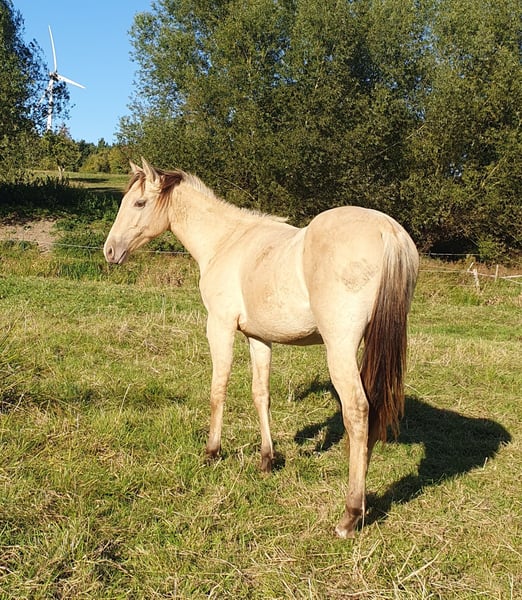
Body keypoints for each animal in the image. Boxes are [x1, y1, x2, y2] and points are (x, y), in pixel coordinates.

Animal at [104, 158, 419, 538]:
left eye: (139, 204)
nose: (109, 251)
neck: (226, 242)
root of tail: (388, 231)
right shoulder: (259, 338)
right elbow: (261, 394)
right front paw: (267, 460)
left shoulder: (220, 326)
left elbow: (218, 390)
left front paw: (212, 452)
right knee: (373, 408)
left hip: (340, 349)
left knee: (357, 411)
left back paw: (350, 514)